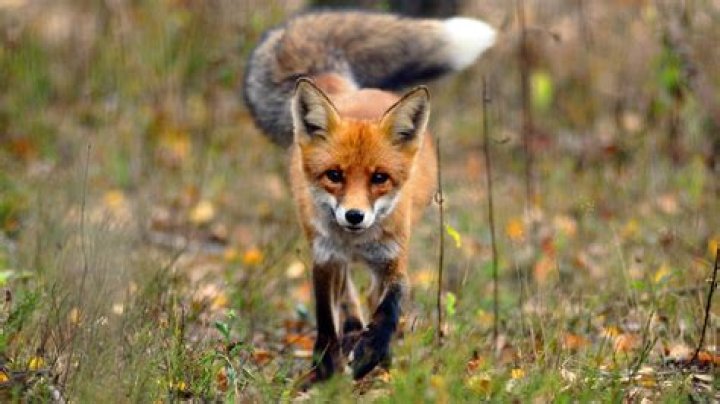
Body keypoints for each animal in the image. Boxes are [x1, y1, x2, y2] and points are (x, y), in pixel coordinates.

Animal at [243, 11, 495, 382]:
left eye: (380, 178)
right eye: (334, 176)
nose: (354, 216)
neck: (356, 242)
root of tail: (348, 90)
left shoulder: (394, 259)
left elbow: (389, 309)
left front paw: (372, 354)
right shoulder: (324, 258)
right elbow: (325, 315)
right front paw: (326, 365)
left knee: (371, 298)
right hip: (324, 247)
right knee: (347, 294)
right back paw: (350, 332)